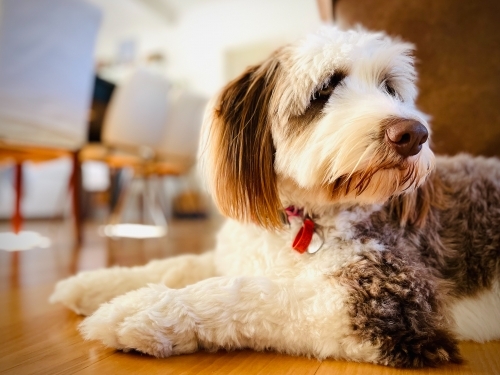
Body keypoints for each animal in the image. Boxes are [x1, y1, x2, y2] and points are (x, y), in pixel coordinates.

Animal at [51, 27, 500, 368]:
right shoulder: (233, 255)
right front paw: (94, 283)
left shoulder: (391, 302)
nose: (414, 134)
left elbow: (252, 293)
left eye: (390, 88)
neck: (301, 218)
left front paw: (141, 310)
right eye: (325, 88)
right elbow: (176, 264)